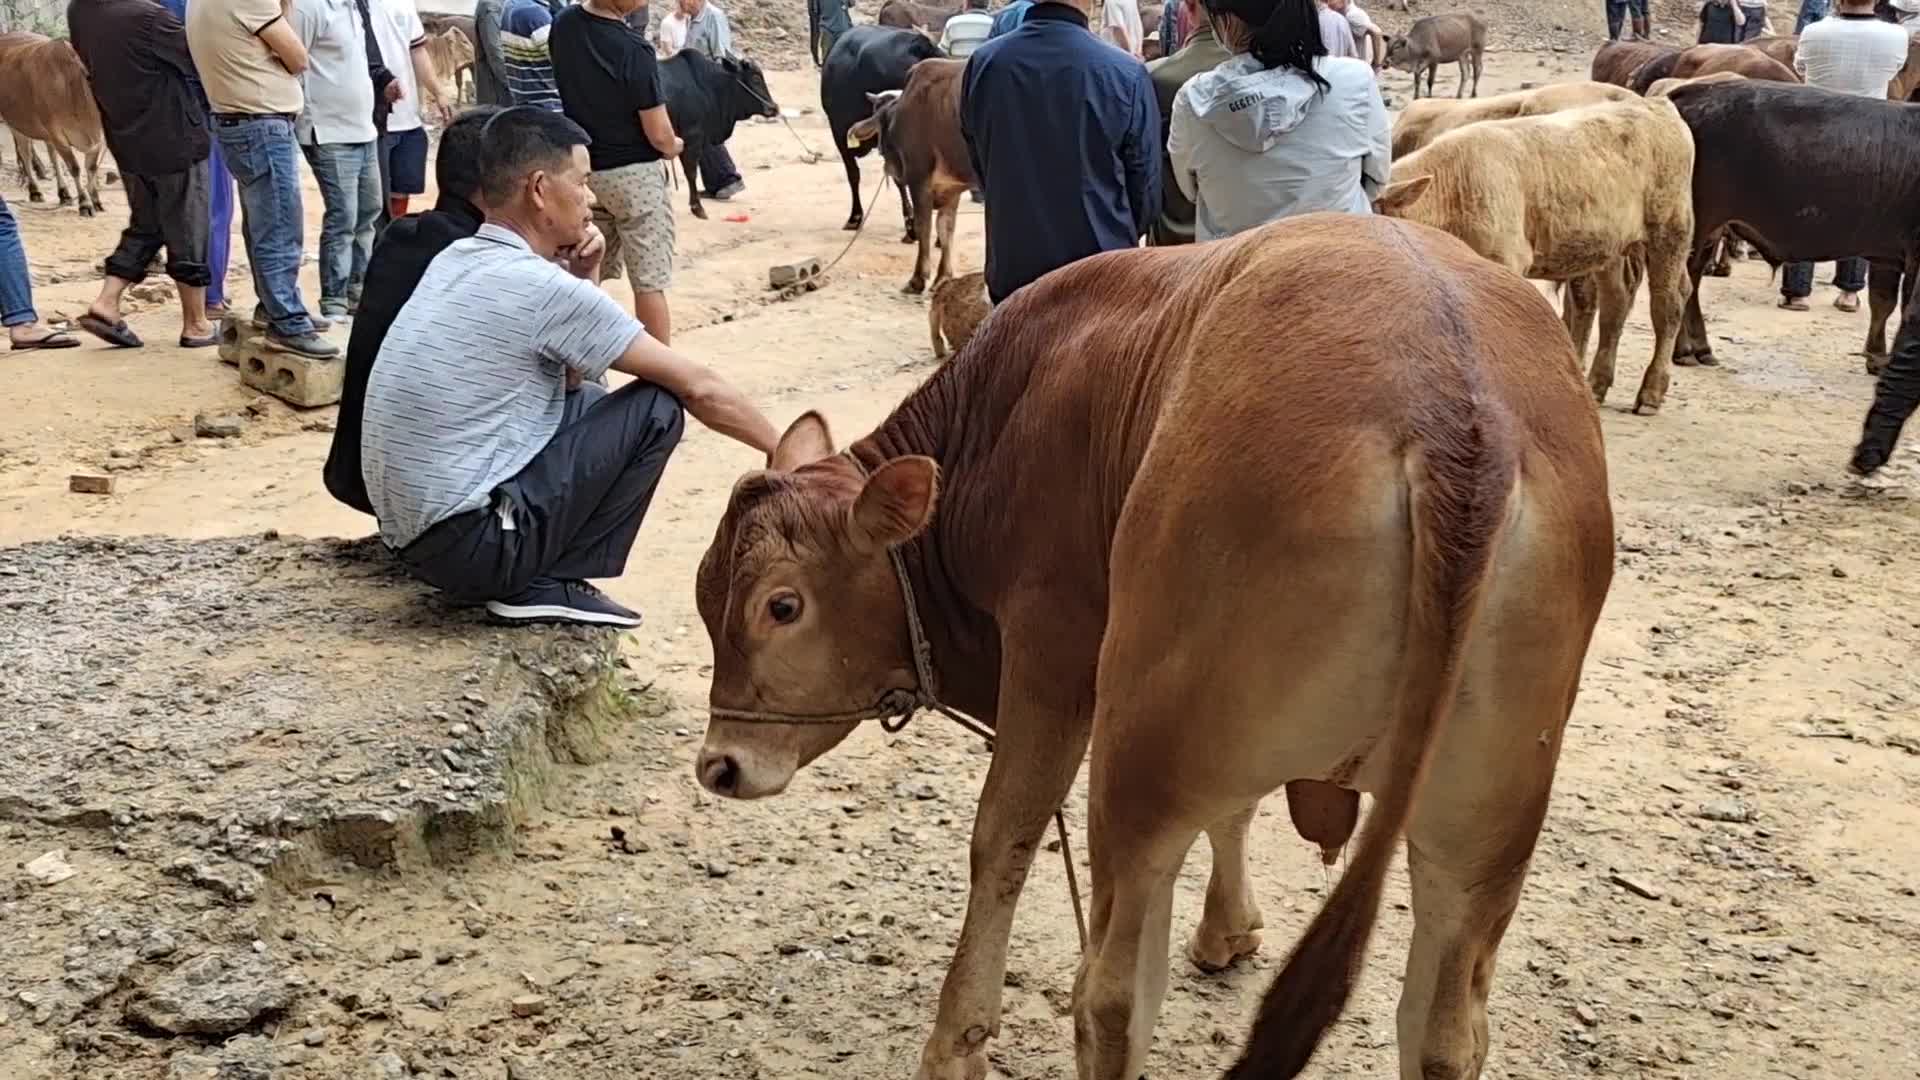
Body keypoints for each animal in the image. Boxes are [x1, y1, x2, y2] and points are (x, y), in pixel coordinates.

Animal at [660, 50, 779, 219]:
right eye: (756, 79)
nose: (774, 107)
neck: (705, 86)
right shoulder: (692, 137)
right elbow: (691, 172)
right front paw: (697, 207)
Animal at [687, 208, 1605, 1076]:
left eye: (780, 606)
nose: (719, 766)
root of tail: (1455, 416)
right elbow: (1234, 810)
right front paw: (1229, 929)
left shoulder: (1053, 650)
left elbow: (1001, 837)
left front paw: (957, 1045)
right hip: (1483, 831)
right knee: (1445, 1034)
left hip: (1139, 766)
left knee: (1112, 997)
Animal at [852, 57, 975, 294]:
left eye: (880, 123)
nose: (881, 150)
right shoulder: (951, 187)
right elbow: (946, 229)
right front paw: (943, 277)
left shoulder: (919, 179)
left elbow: (923, 226)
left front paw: (918, 278)